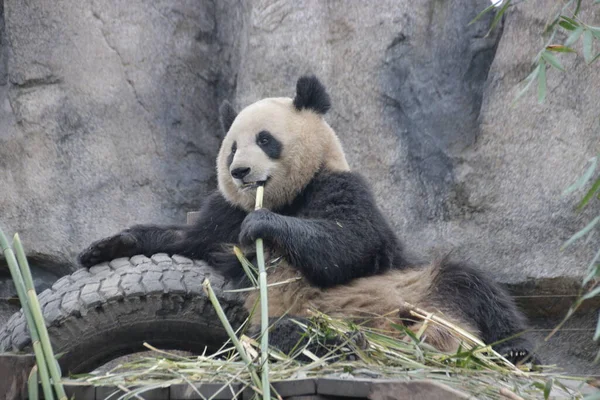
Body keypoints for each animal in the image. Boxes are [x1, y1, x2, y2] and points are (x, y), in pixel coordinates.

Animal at [78, 76, 536, 366]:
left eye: (265, 139)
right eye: (231, 148)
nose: (240, 172)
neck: (285, 198)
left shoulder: (339, 186)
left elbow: (347, 243)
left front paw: (262, 227)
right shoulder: (224, 214)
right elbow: (186, 238)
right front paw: (105, 246)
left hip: (416, 286)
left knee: (474, 286)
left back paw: (516, 352)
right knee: (293, 334)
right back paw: (348, 341)